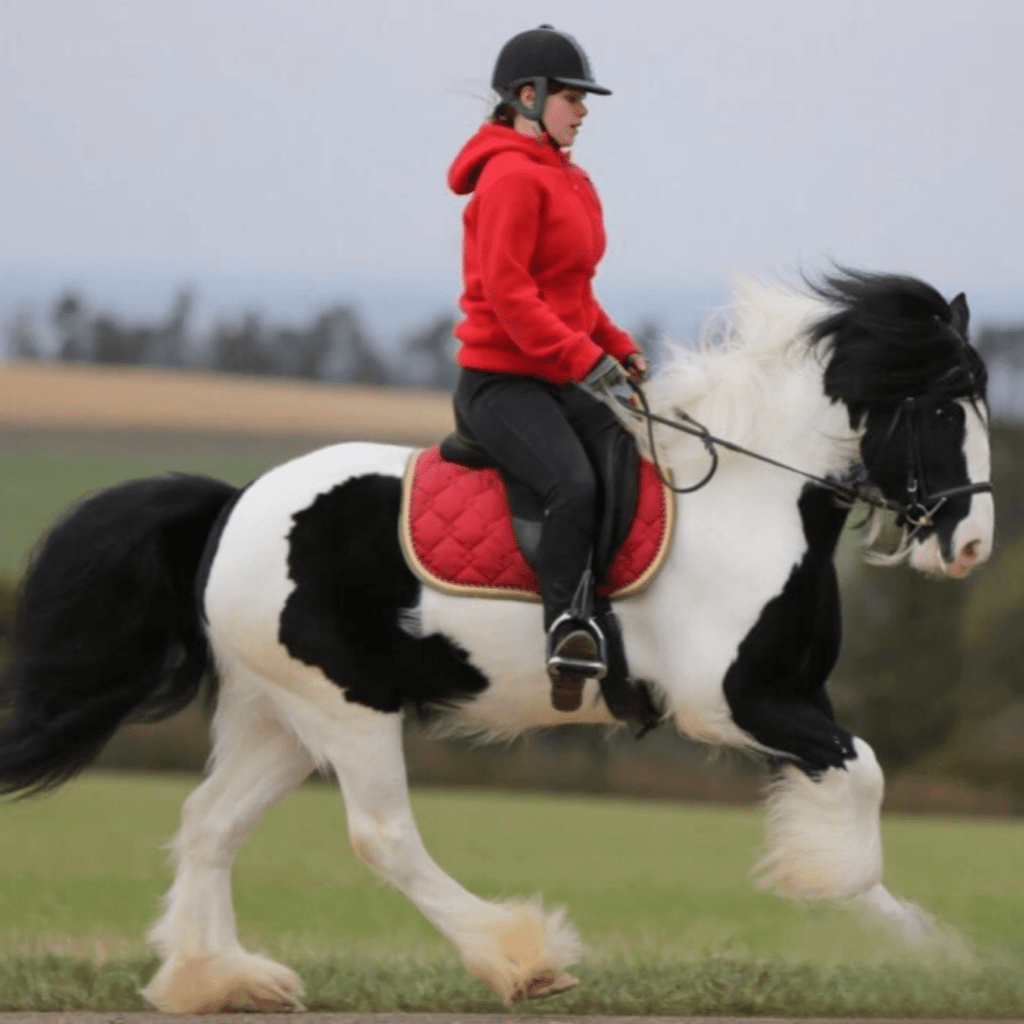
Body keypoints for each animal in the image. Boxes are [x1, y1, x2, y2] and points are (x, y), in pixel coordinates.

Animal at [0, 268, 991, 1011]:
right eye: (945, 411)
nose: (973, 545)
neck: (754, 499)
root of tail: (233, 504)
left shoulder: (791, 699)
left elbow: (854, 788)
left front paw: (935, 954)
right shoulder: (732, 704)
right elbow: (864, 781)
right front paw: (848, 903)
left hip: (276, 713)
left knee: (209, 824)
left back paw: (216, 979)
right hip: (345, 707)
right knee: (382, 837)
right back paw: (521, 956)